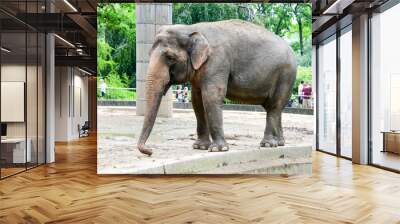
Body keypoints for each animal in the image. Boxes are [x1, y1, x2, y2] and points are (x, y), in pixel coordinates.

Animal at [138, 19, 296, 156]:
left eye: (170, 57)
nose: (150, 151)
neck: (191, 29)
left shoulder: (217, 61)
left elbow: (211, 97)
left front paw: (218, 149)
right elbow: (197, 101)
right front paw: (200, 147)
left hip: (285, 75)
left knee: (274, 106)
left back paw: (267, 144)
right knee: (275, 108)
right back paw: (280, 143)